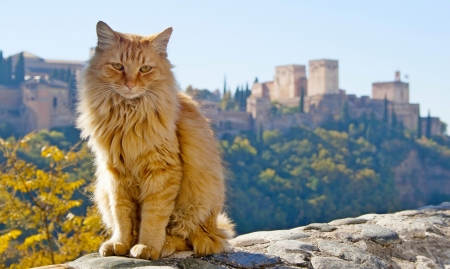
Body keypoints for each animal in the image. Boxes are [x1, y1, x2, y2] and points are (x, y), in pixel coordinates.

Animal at [75, 21, 234, 260]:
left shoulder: (162, 170)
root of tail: (215, 225)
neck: (127, 115)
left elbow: (153, 217)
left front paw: (147, 247)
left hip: (196, 205)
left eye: (145, 69)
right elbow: (122, 217)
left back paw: (165, 244)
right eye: (118, 66)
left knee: (193, 239)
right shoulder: (115, 173)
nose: (130, 85)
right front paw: (120, 244)